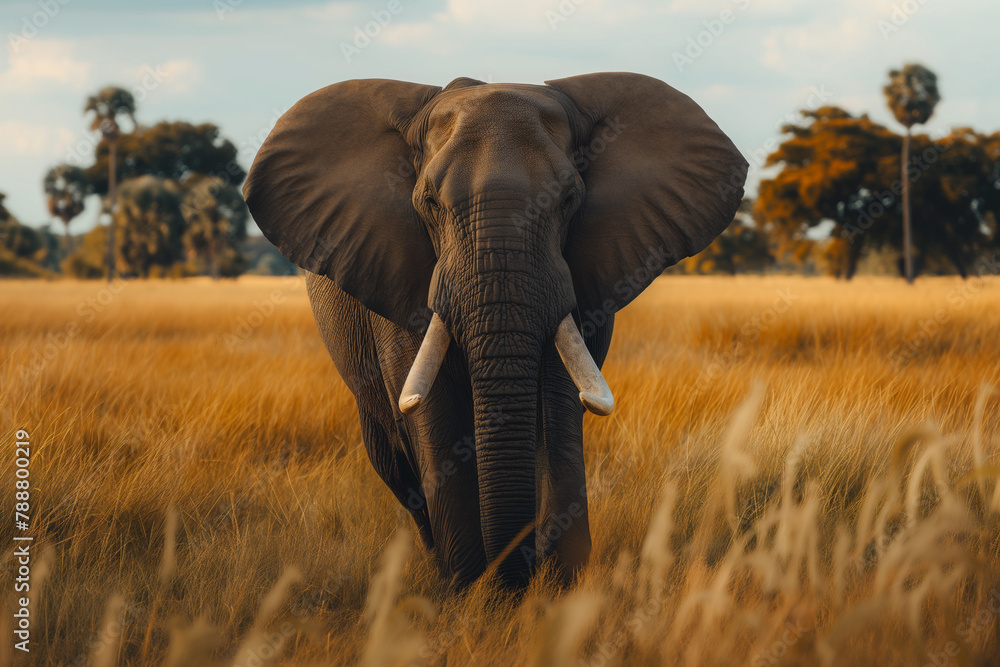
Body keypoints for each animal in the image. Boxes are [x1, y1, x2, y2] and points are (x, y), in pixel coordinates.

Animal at [243, 72, 747, 589]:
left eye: (570, 200)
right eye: (428, 203)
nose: (513, 578)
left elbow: (558, 403)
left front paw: (556, 585)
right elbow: (433, 412)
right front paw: (470, 591)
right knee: (395, 462)